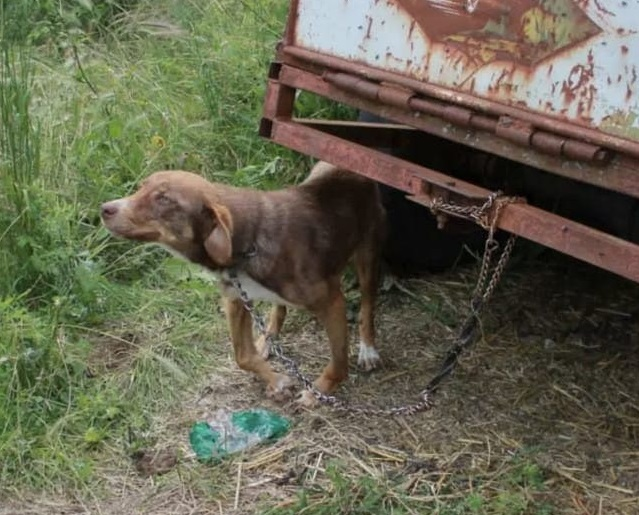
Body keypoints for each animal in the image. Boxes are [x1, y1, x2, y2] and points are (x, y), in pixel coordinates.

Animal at [101, 161, 384, 404]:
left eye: (164, 199)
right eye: (142, 187)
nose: (105, 208)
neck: (247, 243)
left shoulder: (332, 301)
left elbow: (338, 362)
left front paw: (318, 392)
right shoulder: (236, 299)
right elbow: (243, 357)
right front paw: (277, 380)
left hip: (367, 255)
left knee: (367, 303)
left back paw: (368, 349)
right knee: (278, 309)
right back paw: (268, 338)